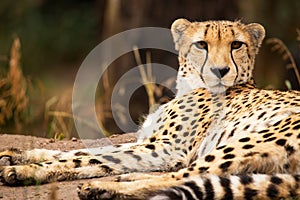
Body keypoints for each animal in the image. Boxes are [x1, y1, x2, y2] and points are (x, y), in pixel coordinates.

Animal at [0, 19, 300, 200]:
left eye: (236, 44)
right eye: (201, 44)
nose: (220, 70)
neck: (189, 86)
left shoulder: (167, 148)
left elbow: (89, 157)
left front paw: (26, 170)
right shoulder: (152, 143)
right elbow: (89, 153)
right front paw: (19, 155)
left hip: (247, 141)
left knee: (189, 177)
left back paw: (104, 188)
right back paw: (121, 180)